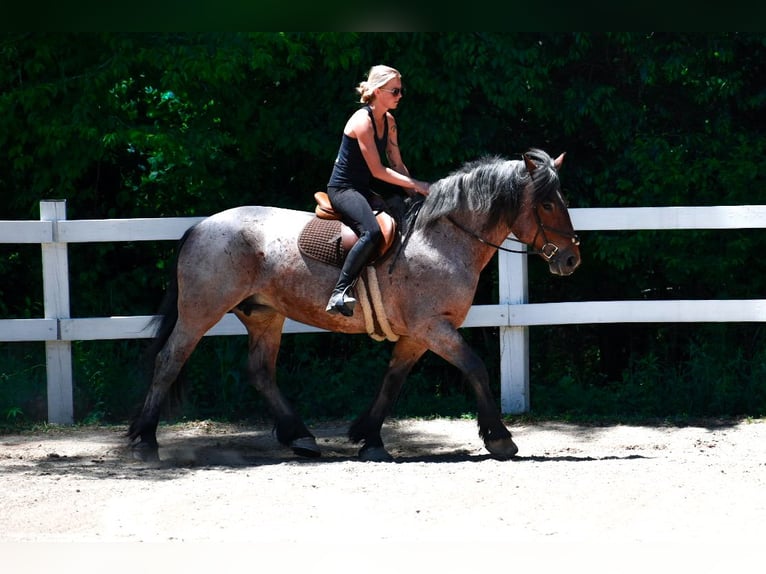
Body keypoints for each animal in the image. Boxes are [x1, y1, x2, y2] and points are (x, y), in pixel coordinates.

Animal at [129, 148, 584, 464]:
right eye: (547, 203)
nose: (570, 259)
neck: (441, 240)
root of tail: (200, 226)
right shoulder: (433, 328)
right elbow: (475, 367)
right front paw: (500, 438)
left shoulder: (417, 335)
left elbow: (392, 381)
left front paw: (370, 438)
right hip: (200, 312)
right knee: (169, 360)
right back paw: (145, 441)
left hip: (265, 316)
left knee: (260, 372)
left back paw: (301, 437)